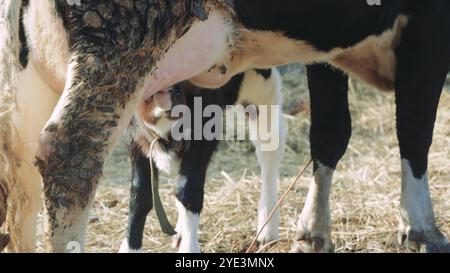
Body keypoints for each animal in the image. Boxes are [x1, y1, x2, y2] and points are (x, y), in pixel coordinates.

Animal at [120, 68, 284, 253]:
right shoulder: (135, 136)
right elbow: (140, 192)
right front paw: (129, 247)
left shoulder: (204, 128)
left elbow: (188, 189)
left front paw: (189, 248)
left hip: (261, 85)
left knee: (270, 146)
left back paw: (267, 231)